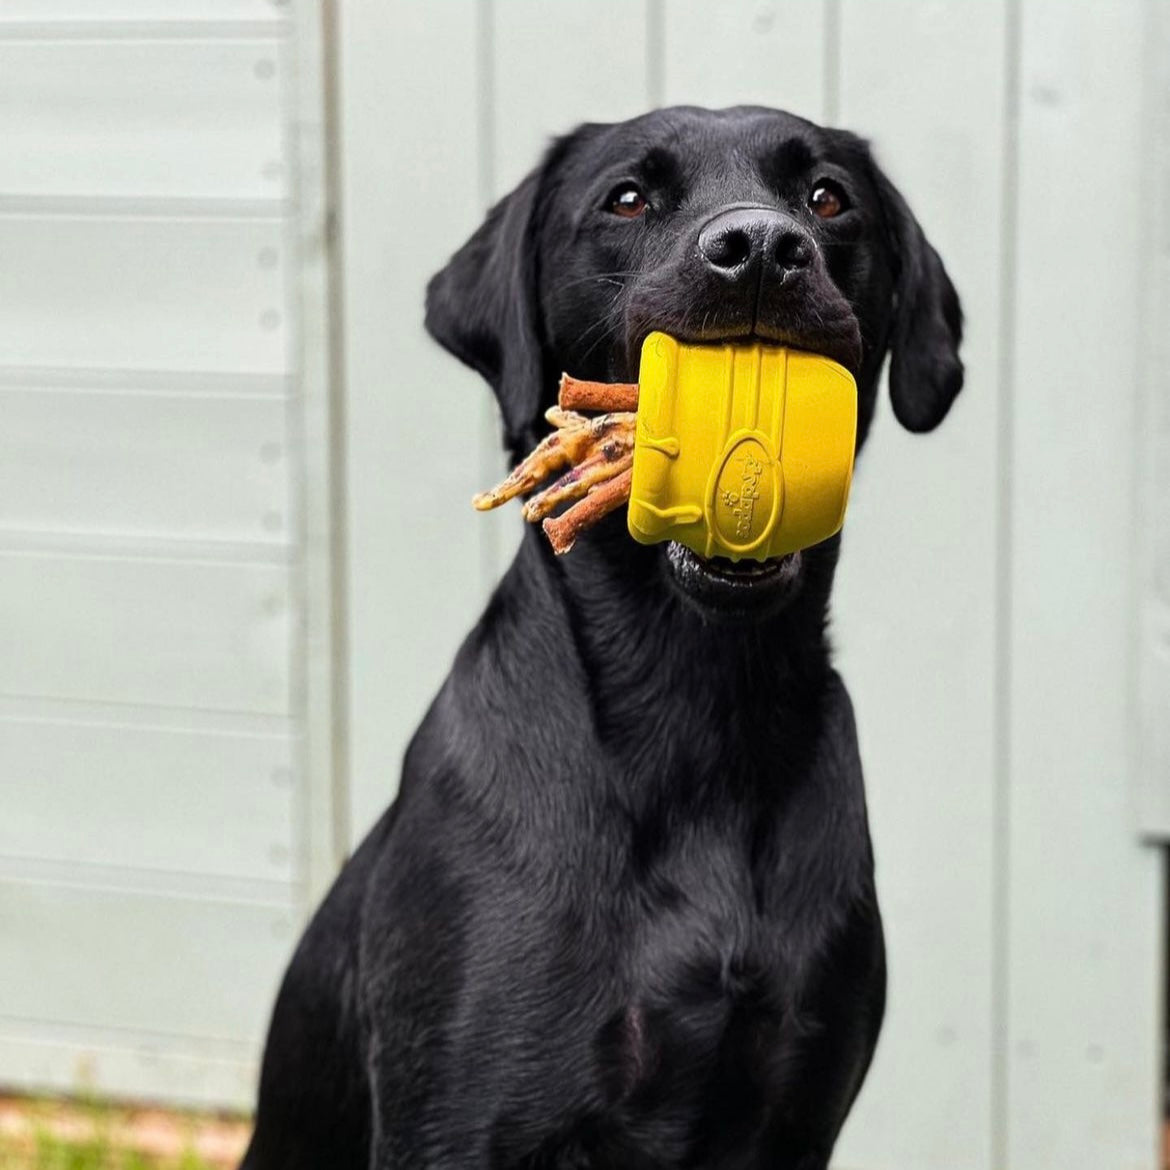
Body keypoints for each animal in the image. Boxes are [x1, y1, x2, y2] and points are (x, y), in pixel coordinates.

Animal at [244, 102, 959, 1170]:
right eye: (626, 198)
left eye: (828, 198)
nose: (761, 250)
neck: (698, 698)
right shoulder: (461, 1118)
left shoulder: (797, 1109)